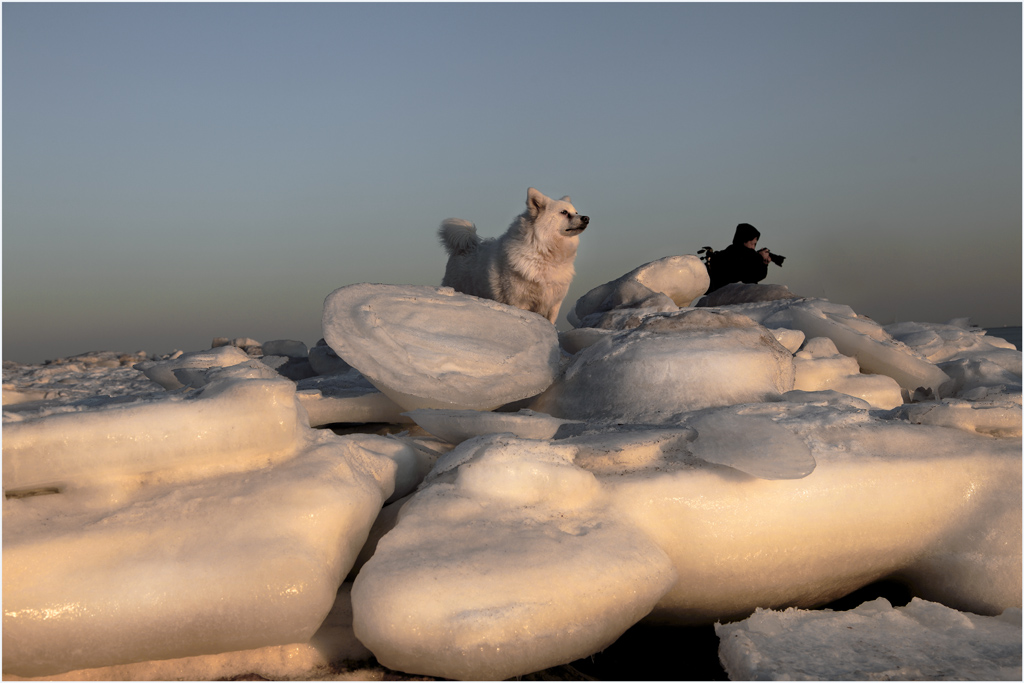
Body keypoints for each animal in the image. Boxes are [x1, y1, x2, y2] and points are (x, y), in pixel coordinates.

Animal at [436, 187, 589, 325]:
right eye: (564, 212)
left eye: (576, 212)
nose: (586, 218)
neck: (544, 253)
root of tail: (467, 245)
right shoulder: (519, 301)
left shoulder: (553, 304)